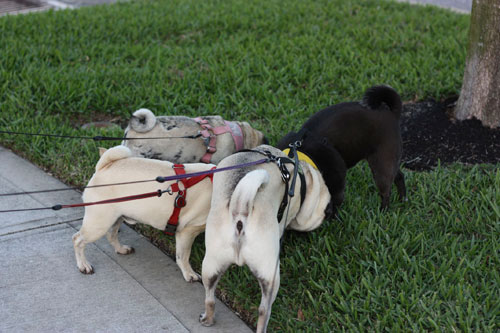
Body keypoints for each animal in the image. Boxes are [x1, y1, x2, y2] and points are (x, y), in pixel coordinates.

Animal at [278, 84, 406, 211]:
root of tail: (391, 113)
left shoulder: (336, 186)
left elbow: (333, 204)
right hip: (388, 162)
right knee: (399, 177)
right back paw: (402, 200)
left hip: (381, 165)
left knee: (386, 192)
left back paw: (383, 210)